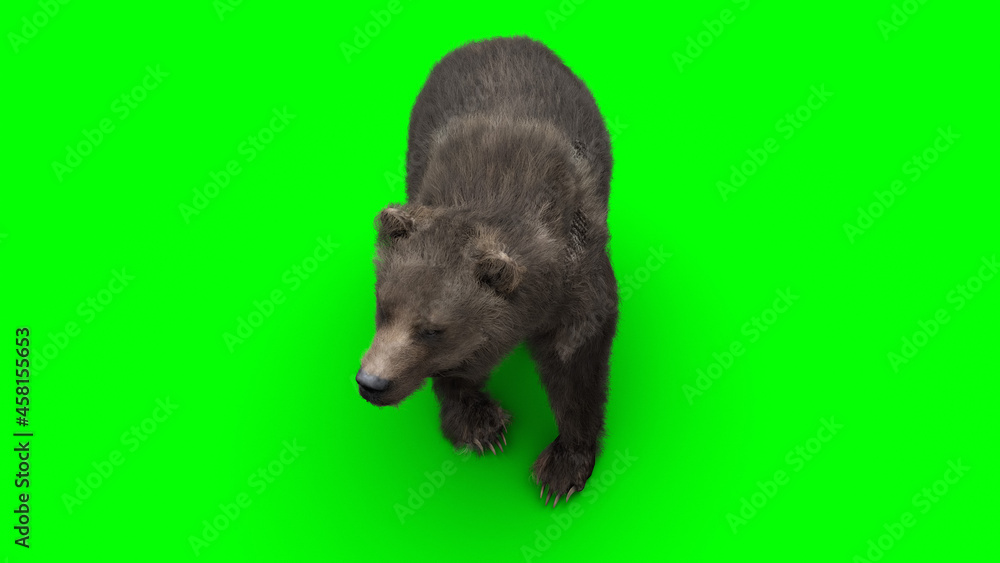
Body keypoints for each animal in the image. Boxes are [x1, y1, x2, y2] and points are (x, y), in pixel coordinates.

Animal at [357, 36, 618, 507]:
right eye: (383, 307)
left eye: (433, 329)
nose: (372, 382)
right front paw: (480, 424)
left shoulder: (576, 277)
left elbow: (576, 360)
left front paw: (561, 467)